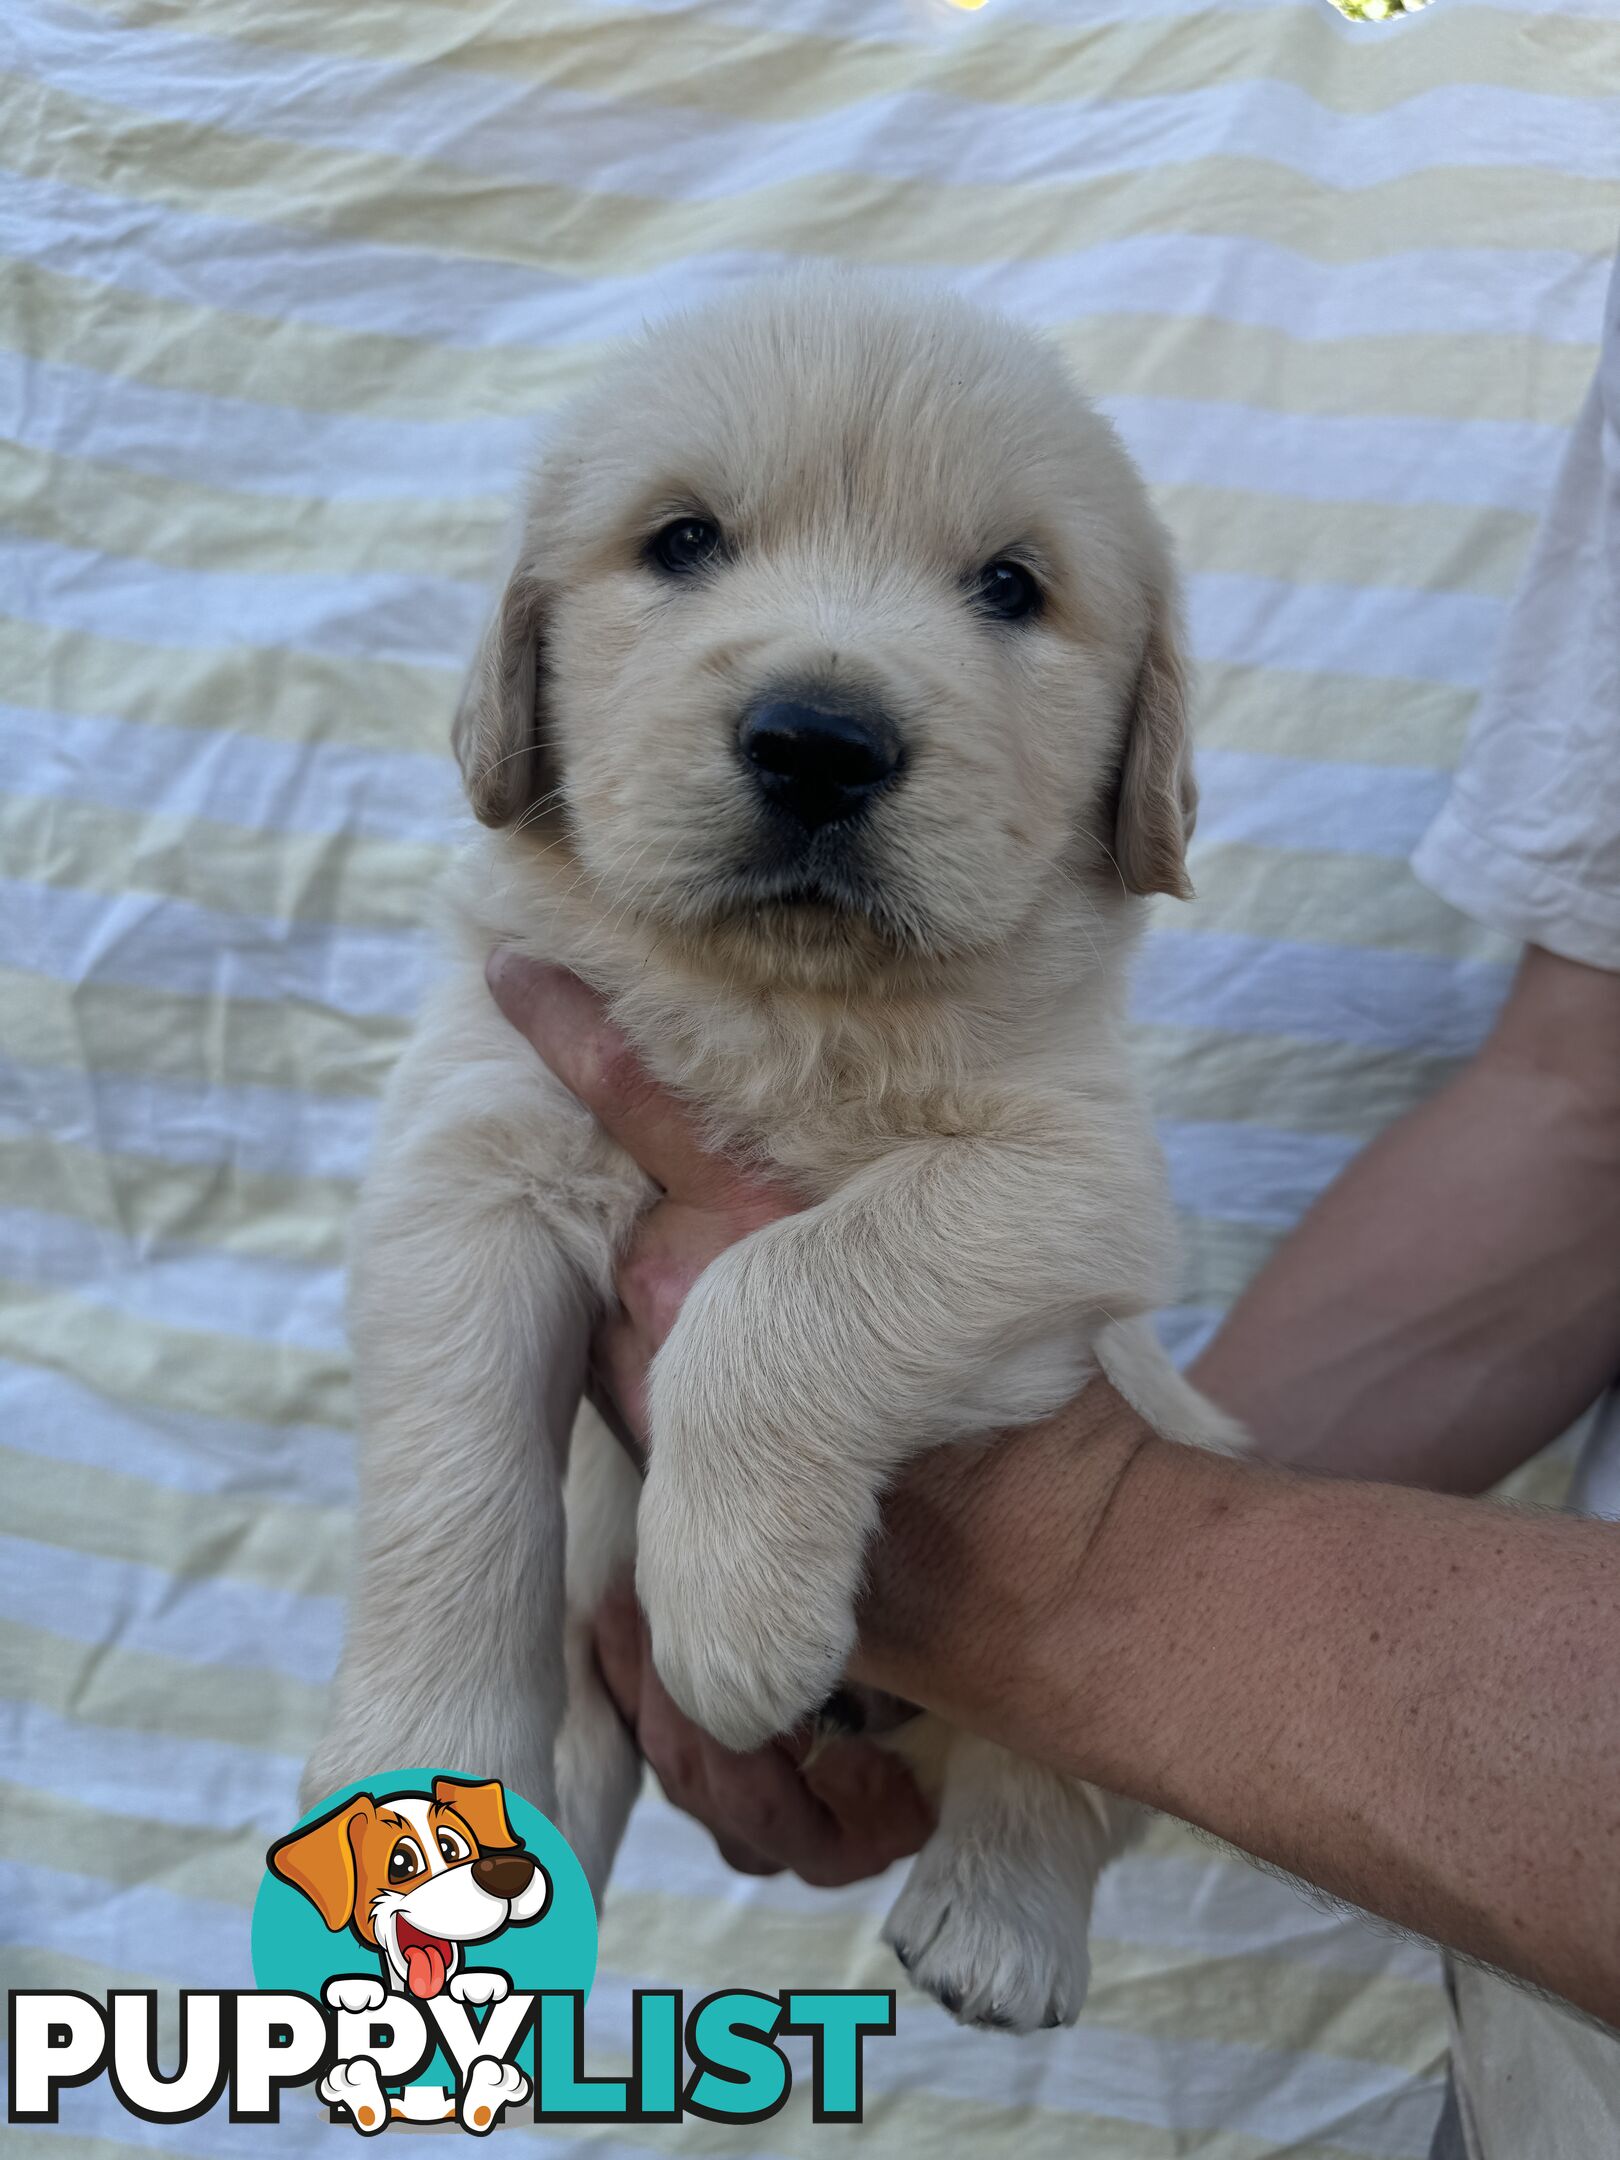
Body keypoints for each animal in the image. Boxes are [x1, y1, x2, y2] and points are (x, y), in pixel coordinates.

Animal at [304, 265, 1244, 2021]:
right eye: (681, 542)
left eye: (1011, 587)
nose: (820, 739)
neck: (782, 1009)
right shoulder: (471, 1163)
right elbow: (451, 1476)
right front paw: (413, 1766)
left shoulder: (1080, 1184)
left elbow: (792, 1285)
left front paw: (734, 1605)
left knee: (1054, 1790)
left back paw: (1000, 1924)